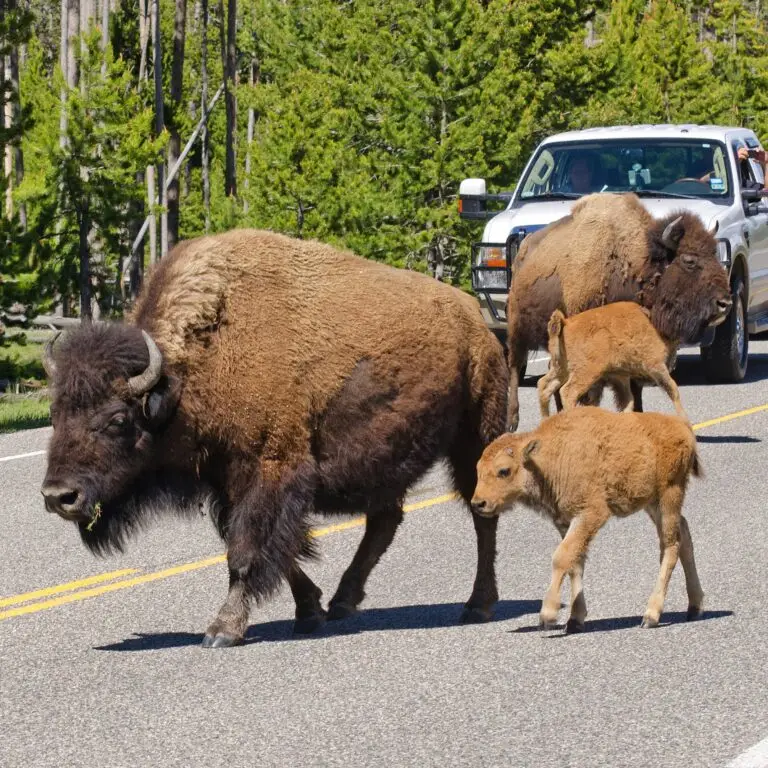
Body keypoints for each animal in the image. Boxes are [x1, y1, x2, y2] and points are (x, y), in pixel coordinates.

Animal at [42, 230, 510, 648]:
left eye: (118, 419)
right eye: (55, 413)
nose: (58, 496)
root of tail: (475, 320)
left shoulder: (270, 468)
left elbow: (247, 550)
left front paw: (222, 630)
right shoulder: (228, 482)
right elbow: (274, 547)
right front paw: (309, 611)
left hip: (475, 438)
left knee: (481, 515)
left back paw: (477, 605)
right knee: (385, 519)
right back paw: (343, 602)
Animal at [468, 408, 704, 636]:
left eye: (504, 470)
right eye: (477, 470)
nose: (478, 503)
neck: (550, 457)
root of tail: (683, 427)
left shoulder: (590, 514)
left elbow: (561, 557)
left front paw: (547, 616)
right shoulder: (566, 522)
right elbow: (575, 563)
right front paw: (575, 620)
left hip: (669, 496)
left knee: (670, 546)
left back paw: (651, 616)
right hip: (653, 503)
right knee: (684, 534)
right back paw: (694, 607)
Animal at [536, 302, 688, 424]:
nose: (673, 363)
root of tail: (566, 324)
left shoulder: (621, 376)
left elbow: (628, 401)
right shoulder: (656, 367)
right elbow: (673, 389)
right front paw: (685, 420)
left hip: (561, 369)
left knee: (544, 385)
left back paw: (545, 421)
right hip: (586, 372)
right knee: (568, 392)